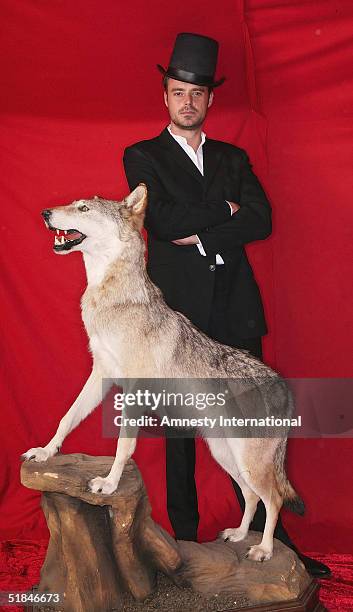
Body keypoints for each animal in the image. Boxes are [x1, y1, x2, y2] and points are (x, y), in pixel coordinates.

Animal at [22, 184, 302, 560]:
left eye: (83, 209)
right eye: (73, 204)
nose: (45, 213)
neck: (110, 298)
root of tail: (283, 387)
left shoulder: (132, 392)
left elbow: (123, 446)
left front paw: (108, 484)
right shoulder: (100, 375)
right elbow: (67, 418)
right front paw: (46, 452)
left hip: (249, 462)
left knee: (273, 499)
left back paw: (264, 550)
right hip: (226, 456)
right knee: (251, 495)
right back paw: (240, 535)